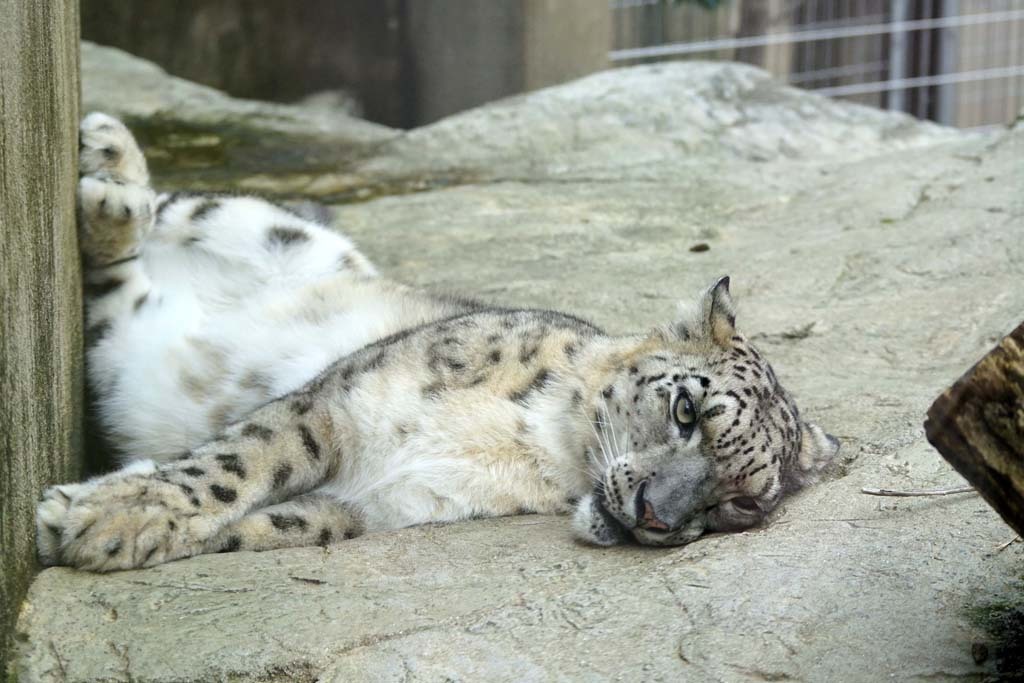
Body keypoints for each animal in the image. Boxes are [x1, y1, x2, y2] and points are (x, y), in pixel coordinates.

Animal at [34, 113, 839, 573]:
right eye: (686, 412)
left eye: (742, 504)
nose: (656, 517)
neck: (540, 447)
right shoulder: (337, 403)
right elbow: (239, 464)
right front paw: (108, 514)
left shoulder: (379, 504)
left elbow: (272, 523)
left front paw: (94, 523)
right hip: (264, 226)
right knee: (167, 213)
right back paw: (110, 160)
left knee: (115, 292)